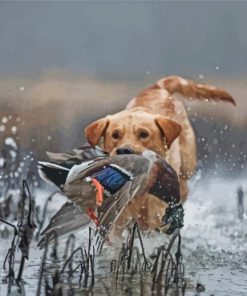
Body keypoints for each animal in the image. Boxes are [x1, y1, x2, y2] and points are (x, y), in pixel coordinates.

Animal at [83, 75, 235, 235]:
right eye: (115, 135)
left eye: (144, 134)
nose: (124, 150)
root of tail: (157, 87)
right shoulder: (117, 221)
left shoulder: (156, 214)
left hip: (187, 165)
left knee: (183, 184)